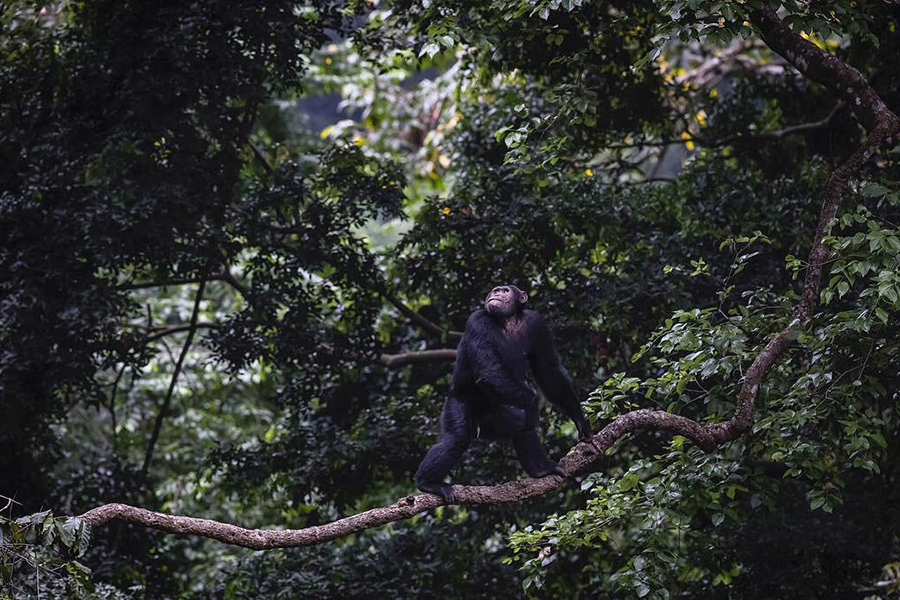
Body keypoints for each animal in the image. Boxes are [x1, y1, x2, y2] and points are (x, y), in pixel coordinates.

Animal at [416, 284, 596, 502]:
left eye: (505, 290)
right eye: (495, 290)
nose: (495, 293)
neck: (508, 319)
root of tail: (478, 426)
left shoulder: (538, 325)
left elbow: (548, 371)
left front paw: (580, 420)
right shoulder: (477, 321)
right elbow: (489, 369)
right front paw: (534, 404)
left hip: (495, 418)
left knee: (520, 426)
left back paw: (540, 470)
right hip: (456, 404)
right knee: (456, 439)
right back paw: (428, 483)